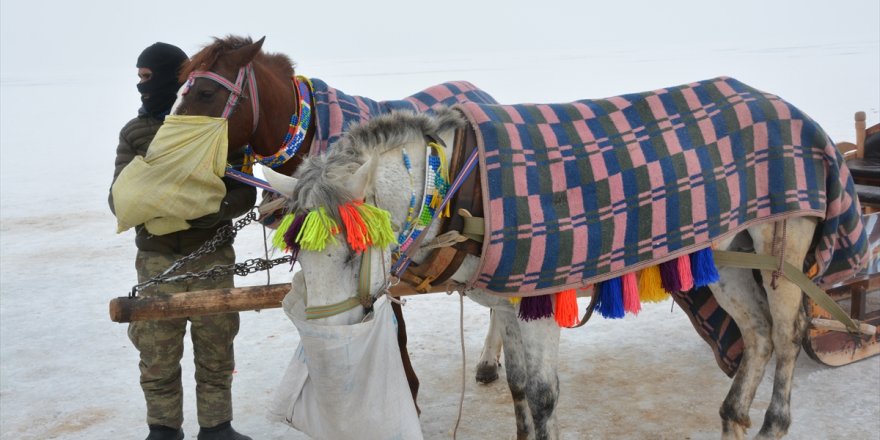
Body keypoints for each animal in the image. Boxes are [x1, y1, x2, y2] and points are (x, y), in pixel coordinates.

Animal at [262, 105, 852, 438]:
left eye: (351, 253)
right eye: (298, 254)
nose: (326, 346)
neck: (458, 184)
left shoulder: (538, 299)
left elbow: (544, 396)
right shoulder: (506, 302)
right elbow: (520, 388)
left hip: (784, 247)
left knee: (787, 335)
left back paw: (772, 423)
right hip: (729, 253)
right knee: (756, 335)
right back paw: (733, 415)